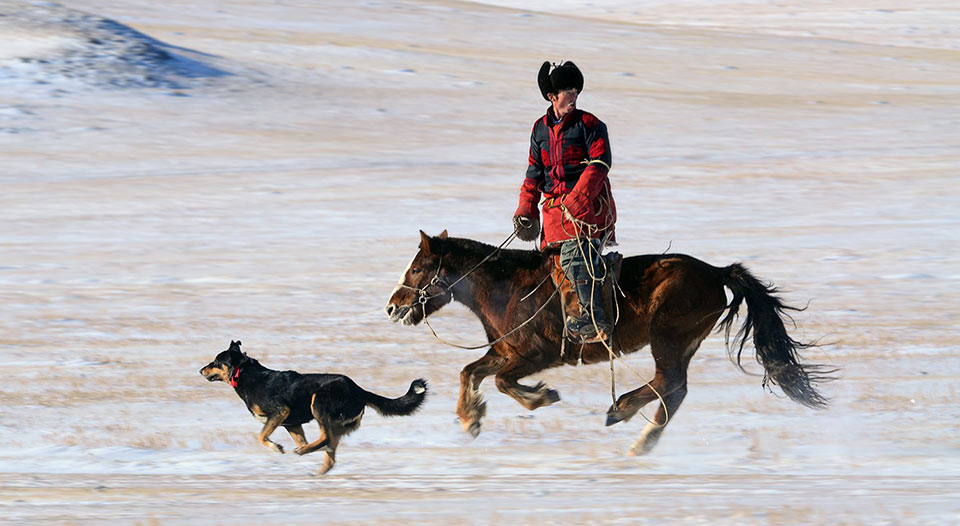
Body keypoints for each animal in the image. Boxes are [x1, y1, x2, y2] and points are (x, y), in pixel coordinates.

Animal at [384, 230, 835, 455]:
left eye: (418, 267)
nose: (392, 306)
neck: (507, 288)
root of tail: (715, 272)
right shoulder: (505, 351)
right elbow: (470, 372)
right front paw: (471, 419)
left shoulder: (535, 355)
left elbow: (500, 382)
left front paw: (541, 397)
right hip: (678, 343)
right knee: (674, 390)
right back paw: (639, 436)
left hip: (668, 339)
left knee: (670, 384)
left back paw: (624, 415)